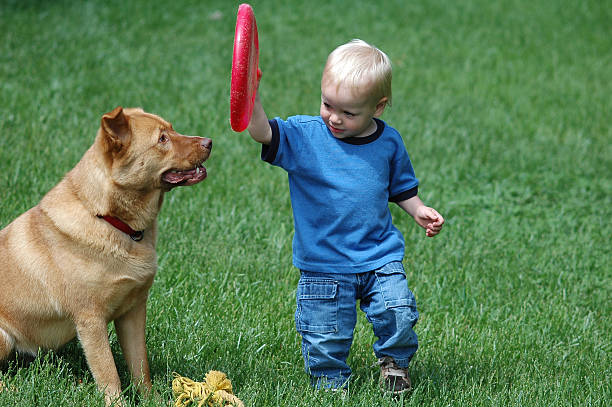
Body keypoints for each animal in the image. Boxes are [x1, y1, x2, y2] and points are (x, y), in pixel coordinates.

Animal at [0, 107, 213, 406]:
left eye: (172, 129)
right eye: (162, 139)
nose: (210, 142)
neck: (113, 221)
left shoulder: (133, 310)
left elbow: (140, 367)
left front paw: (152, 400)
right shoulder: (91, 320)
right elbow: (109, 374)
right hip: (3, 337)